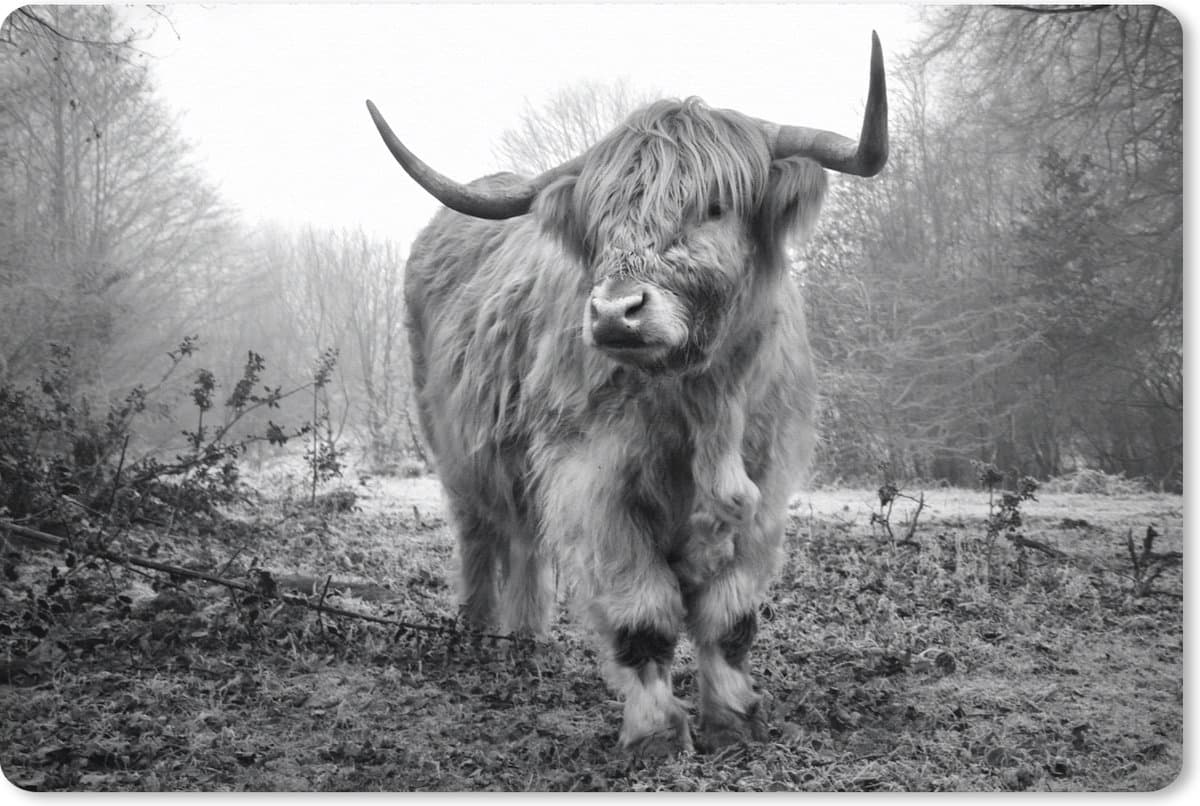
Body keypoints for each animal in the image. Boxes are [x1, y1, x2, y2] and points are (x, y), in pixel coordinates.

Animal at [366, 33, 887, 754]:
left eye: (715, 206)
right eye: (601, 220)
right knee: (480, 536)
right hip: (455, 448)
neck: (703, 403)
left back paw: (526, 642)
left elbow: (731, 618)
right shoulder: (593, 481)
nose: (616, 312)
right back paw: (477, 635)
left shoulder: (767, 483)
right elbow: (643, 615)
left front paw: (733, 719)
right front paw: (656, 734)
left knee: (524, 541)